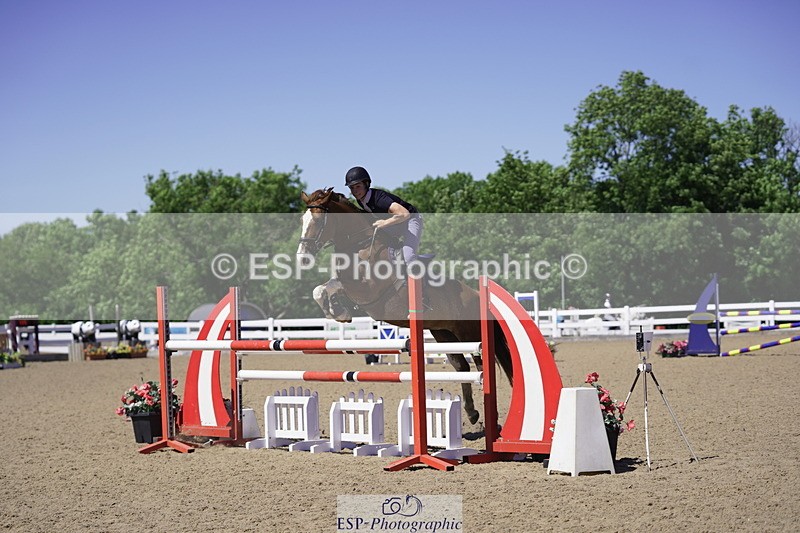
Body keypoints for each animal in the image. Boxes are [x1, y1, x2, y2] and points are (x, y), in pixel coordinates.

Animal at [296, 187, 513, 425]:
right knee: (461, 367)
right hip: (443, 332)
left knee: (480, 365)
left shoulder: (367, 290)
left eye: (318, 220)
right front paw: (338, 311)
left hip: (469, 334)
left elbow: (340, 287)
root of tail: (476, 296)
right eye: (302, 220)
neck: (360, 246)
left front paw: (340, 310)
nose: (302, 257)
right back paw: (472, 413)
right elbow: (321, 289)